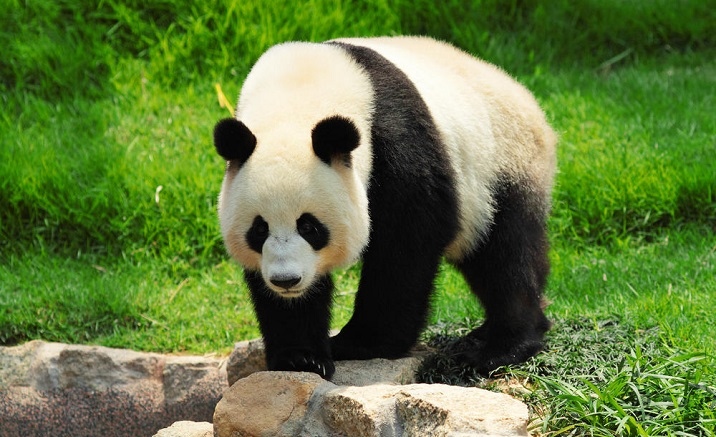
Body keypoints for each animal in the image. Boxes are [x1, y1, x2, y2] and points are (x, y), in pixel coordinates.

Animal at [214, 36, 557, 380]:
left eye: (309, 226)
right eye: (259, 229)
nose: (286, 281)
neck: (297, 94)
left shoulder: (395, 141)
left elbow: (406, 242)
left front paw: (361, 343)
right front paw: (301, 358)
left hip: (501, 166)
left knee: (505, 255)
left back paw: (499, 347)